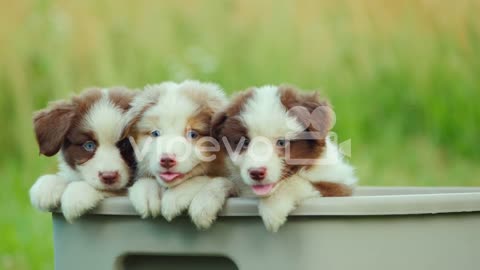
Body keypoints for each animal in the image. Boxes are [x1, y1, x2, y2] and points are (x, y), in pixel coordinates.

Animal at [126, 80, 233, 230]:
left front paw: (186, 200)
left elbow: (215, 180)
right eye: (155, 133)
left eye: (193, 134)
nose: (166, 160)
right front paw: (146, 193)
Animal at [212, 85, 358, 232]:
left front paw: (273, 209)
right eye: (245, 142)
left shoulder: (338, 187)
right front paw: (207, 200)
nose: (256, 172)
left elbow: (293, 182)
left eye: (281, 142)